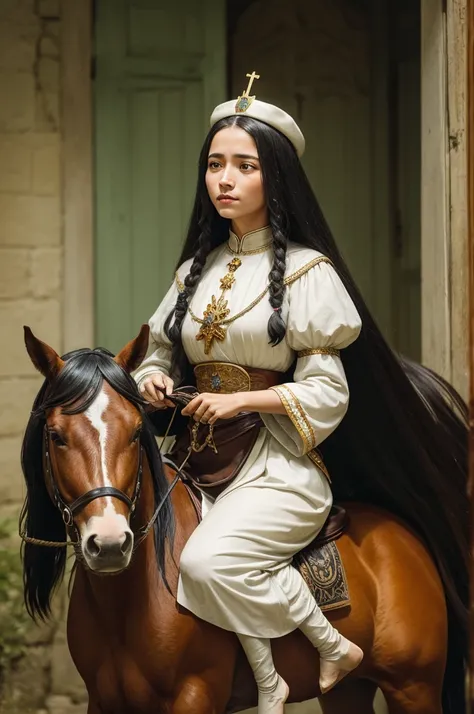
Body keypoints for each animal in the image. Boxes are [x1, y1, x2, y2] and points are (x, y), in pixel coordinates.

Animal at [20, 326, 462, 712]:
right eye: (56, 436)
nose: (111, 542)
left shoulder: (195, 696)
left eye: (134, 431)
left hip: (414, 688)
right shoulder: (103, 701)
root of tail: (403, 535)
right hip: (348, 692)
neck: (129, 600)